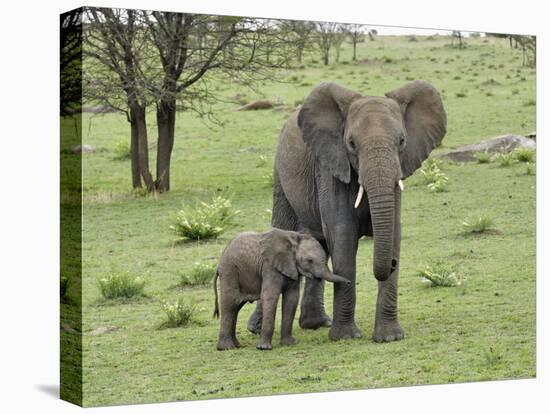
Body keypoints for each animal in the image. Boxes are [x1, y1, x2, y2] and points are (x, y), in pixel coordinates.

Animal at [215, 228, 350, 350]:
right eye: (309, 260)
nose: (349, 282)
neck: (294, 238)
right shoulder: (269, 267)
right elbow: (270, 296)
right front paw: (264, 348)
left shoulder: (292, 267)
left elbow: (292, 298)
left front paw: (290, 343)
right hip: (230, 271)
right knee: (230, 304)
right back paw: (226, 348)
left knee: (236, 307)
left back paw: (236, 346)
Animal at [248, 79, 446, 342]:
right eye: (351, 143)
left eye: (402, 141)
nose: (393, 264)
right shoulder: (331, 168)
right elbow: (343, 239)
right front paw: (346, 337)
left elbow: (393, 234)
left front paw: (390, 338)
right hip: (280, 176)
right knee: (284, 229)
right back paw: (257, 329)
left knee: (319, 245)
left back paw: (316, 323)